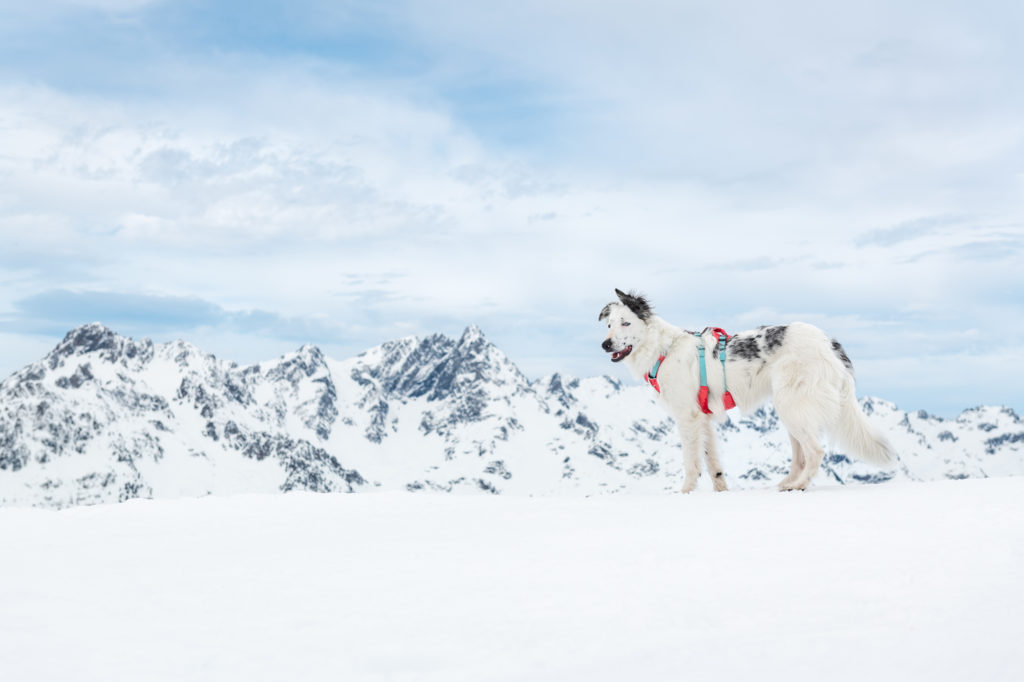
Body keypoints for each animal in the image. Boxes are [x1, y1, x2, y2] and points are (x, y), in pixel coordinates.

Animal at [598, 286, 897, 489]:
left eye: (626, 323)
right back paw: (785, 485)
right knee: (801, 456)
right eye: (609, 324)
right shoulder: (703, 418)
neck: (664, 349)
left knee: (815, 452)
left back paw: (798, 486)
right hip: (791, 409)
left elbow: (692, 463)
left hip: (792, 406)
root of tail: (829, 342)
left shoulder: (687, 417)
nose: (605, 344)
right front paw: (721, 491)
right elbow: (713, 464)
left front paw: (685, 493)